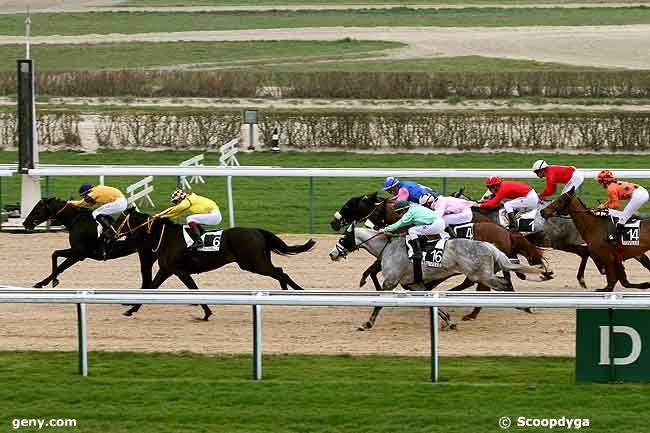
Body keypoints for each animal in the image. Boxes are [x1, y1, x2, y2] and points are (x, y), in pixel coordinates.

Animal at [21, 197, 154, 288]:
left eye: (37, 210)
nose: (25, 223)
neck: (76, 221)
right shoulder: (76, 250)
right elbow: (55, 254)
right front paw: (54, 280)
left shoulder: (79, 254)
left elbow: (61, 267)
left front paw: (41, 283)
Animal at [114, 208, 316, 318]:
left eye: (118, 221)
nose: (110, 233)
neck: (166, 238)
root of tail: (258, 231)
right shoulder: (167, 270)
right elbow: (153, 287)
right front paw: (131, 309)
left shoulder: (179, 271)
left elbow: (192, 290)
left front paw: (206, 313)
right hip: (258, 261)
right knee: (280, 270)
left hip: (253, 263)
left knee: (280, 272)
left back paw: (299, 292)